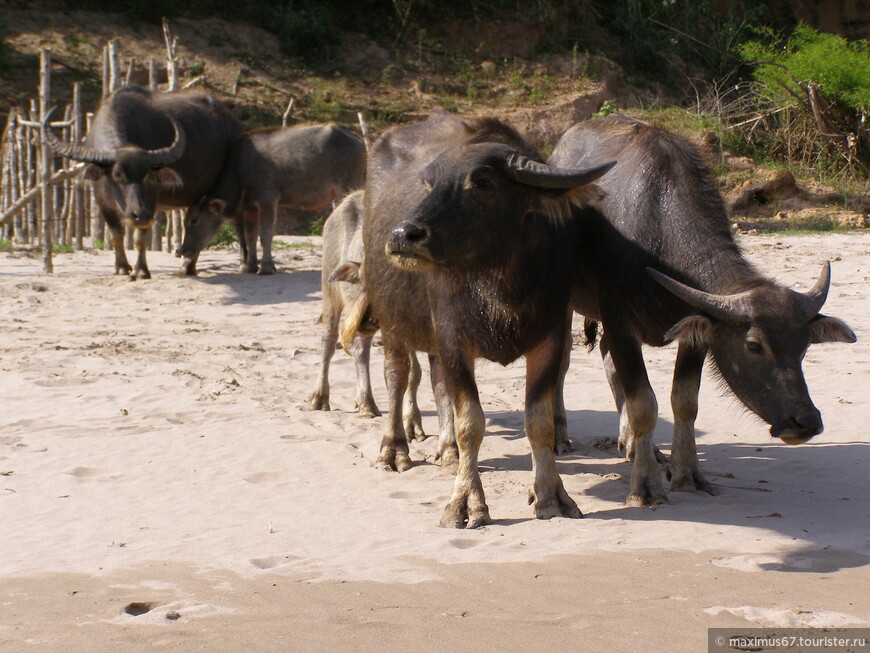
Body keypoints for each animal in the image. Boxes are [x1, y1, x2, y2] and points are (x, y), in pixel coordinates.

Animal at [43, 85, 244, 278]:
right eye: (117, 174)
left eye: (148, 176)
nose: (140, 215)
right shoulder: (102, 202)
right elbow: (116, 236)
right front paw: (121, 267)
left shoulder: (151, 201)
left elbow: (140, 239)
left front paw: (141, 270)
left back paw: (190, 267)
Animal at [179, 124, 366, 276]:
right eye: (185, 220)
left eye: (194, 220)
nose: (182, 250)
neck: (241, 169)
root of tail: (358, 140)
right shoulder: (250, 208)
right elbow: (250, 237)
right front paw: (250, 267)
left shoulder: (267, 200)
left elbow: (266, 235)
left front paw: (266, 267)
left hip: (346, 188)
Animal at [364, 112, 616, 528]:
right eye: (430, 183)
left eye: (482, 182)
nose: (403, 234)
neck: (502, 284)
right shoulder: (453, 340)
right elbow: (471, 422)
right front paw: (466, 503)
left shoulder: (550, 338)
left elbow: (539, 421)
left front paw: (551, 496)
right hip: (392, 320)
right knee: (396, 375)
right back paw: (394, 449)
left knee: (436, 382)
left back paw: (447, 450)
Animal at [552, 114, 860, 506]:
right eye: (754, 345)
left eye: (804, 346)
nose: (806, 421)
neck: (656, 232)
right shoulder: (622, 324)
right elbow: (644, 404)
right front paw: (646, 486)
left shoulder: (696, 333)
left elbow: (685, 401)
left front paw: (687, 474)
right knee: (562, 361)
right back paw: (560, 436)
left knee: (606, 357)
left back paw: (634, 445)